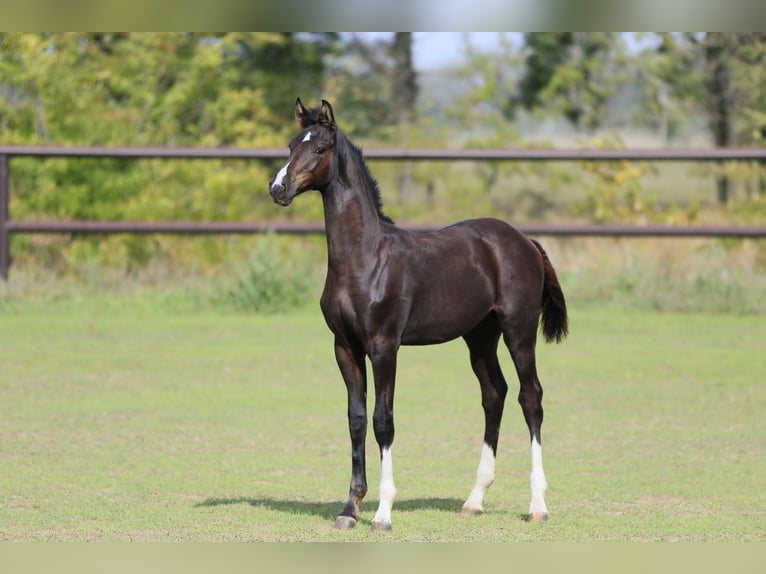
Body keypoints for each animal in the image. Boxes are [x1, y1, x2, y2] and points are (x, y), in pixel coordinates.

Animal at [270, 97, 568, 532]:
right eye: (292, 145)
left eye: (319, 148)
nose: (278, 189)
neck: (365, 258)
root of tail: (523, 240)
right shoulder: (345, 347)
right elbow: (356, 418)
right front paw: (349, 508)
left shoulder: (384, 346)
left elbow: (383, 420)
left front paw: (382, 512)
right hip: (480, 336)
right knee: (493, 394)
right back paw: (474, 499)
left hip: (519, 329)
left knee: (531, 398)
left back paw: (538, 505)